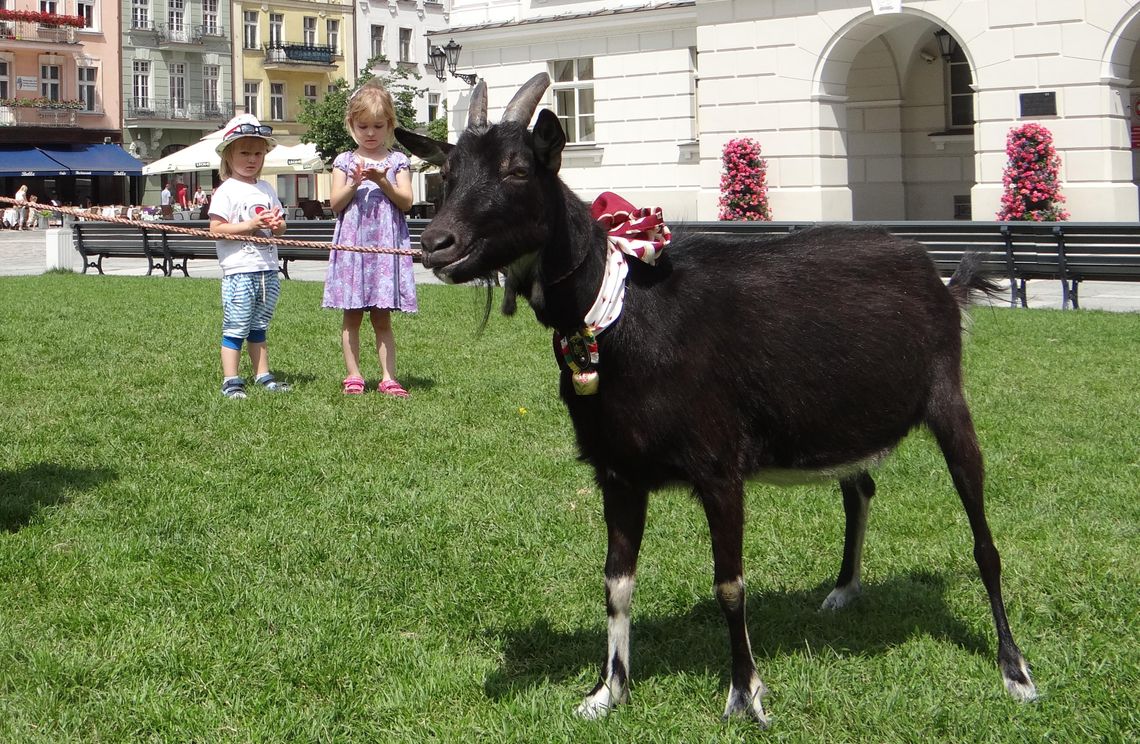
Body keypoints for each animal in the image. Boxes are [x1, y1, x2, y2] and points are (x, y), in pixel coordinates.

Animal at [396, 72, 1039, 724]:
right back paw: (843, 589)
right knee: (859, 486)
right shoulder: (617, 471)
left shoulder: (719, 466)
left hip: (948, 399)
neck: (623, 310)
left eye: (518, 169)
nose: (437, 244)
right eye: (447, 171)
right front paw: (607, 692)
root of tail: (940, 279)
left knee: (984, 543)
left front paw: (746, 693)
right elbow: (615, 582)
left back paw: (1014, 669)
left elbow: (730, 583)